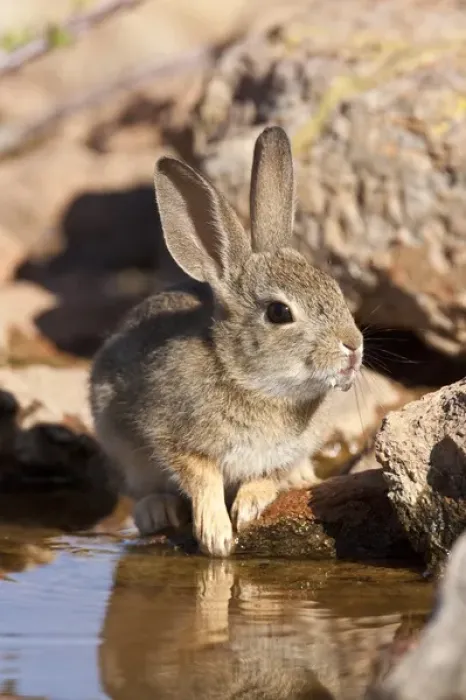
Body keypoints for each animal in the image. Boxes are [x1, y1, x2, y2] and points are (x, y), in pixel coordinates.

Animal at [90, 126, 363, 558]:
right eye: (279, 313)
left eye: (335, 289)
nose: (353, 347)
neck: (250, 381)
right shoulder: (175, 437)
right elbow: (202, 477)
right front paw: (216, 536)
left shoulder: (283, 454)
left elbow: (268, 476)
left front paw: (249, 506)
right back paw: (157, 511)